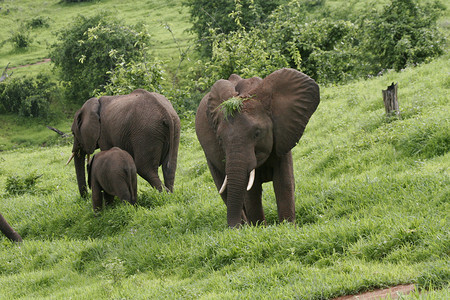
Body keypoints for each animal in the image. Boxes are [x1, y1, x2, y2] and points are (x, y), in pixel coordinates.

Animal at [194, 68, 320, 227]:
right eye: (220, 139)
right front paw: (259, 229)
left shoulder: (283, 134)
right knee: (224, 190)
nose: (233, 228)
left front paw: (287, 227)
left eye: (257, 133)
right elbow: (251, 192)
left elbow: (284, 182)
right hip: (209, 156)